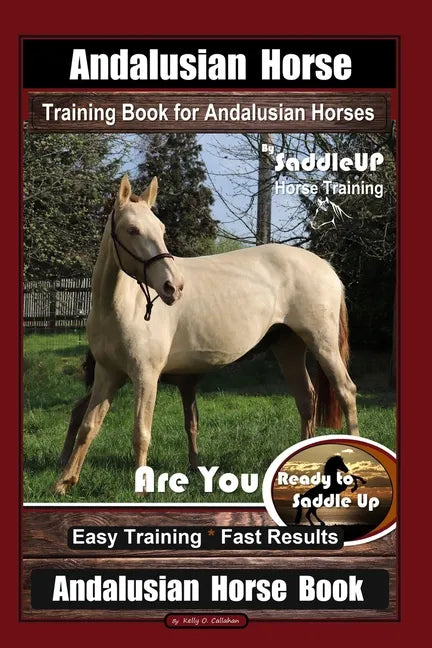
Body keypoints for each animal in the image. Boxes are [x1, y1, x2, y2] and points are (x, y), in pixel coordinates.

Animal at [54, 175, 359, 495]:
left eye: (161, 229)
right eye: (132, 229)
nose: (173, 286)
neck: (122, 306)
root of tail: (326, 267)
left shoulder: (145, 376)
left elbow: (141, 431)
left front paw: (141, 489)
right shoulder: (107, 374)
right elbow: (88, 425)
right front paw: (64, 482)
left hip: (322, 343)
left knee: (345, 391)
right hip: (288, 346)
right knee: (306, 398)